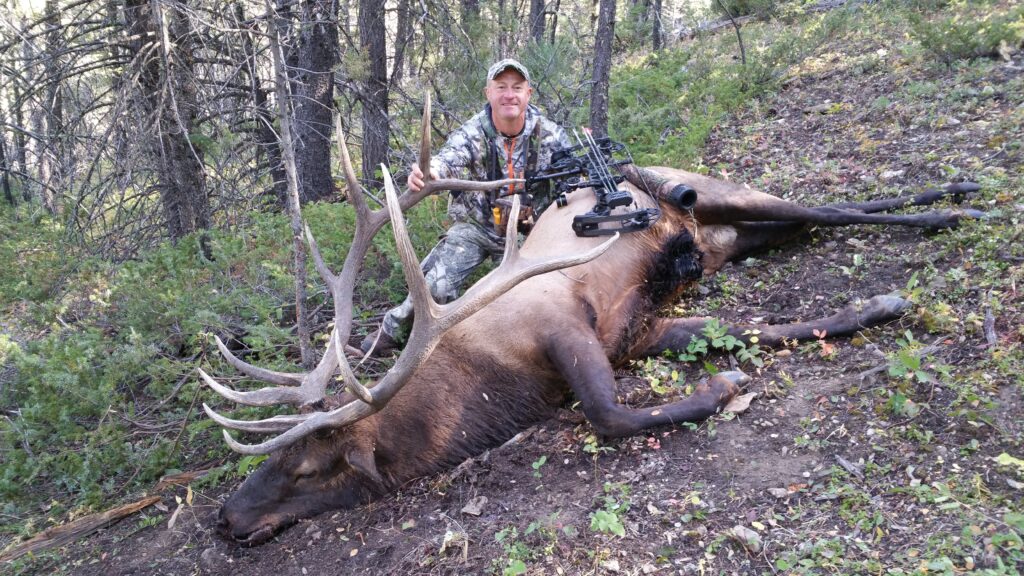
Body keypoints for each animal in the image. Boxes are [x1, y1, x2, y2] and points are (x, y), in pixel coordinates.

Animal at [201, 97, 983, 541]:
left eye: (307, 469)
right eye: (270, 461)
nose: (225, 517)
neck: (488, 392)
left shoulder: (566, 327)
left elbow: (610, 415)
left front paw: (722, 387)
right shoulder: (635, 334)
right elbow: (759, 332)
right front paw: (866, 310)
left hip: (712, 192)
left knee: (828, 205)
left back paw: (951, 202)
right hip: (728, 238)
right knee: (814, 220)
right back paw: (949, 194)